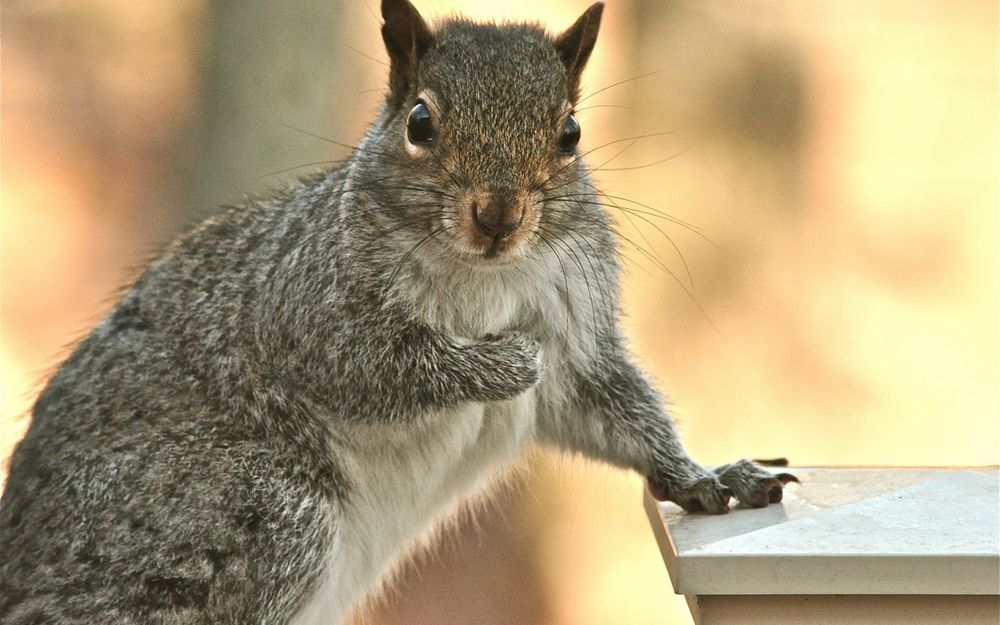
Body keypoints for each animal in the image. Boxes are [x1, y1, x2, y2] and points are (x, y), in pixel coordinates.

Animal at [0, 1, 797, 623]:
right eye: (420, 121)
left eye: (570, 132)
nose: (498, 216)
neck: (485, 273)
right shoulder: (305, 308)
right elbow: (379, 367)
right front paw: (503, 362)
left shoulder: (580, 337)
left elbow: (616, 409)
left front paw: (706, 480)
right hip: (251, 509)